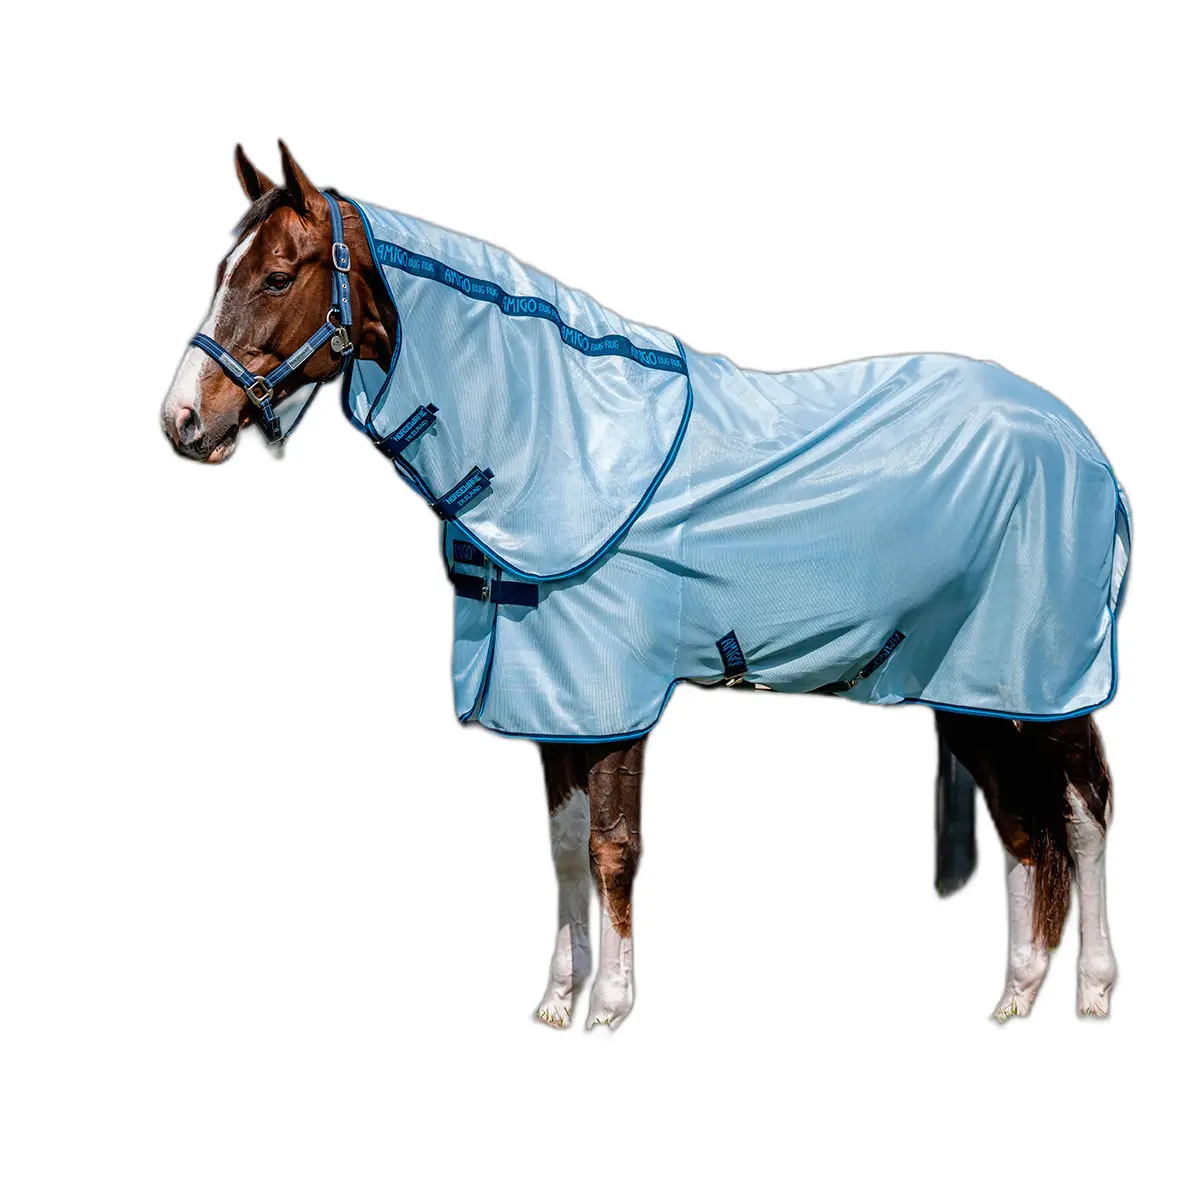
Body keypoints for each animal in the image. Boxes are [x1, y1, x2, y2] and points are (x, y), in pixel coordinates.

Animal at [161, 142, 1127, 1028]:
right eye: (220, 272)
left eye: (277, 276)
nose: (183, 420)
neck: (557, 433)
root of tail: (1082, 445)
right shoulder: (552, 702)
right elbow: (562, 847)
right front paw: (559, 999)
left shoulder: (613, 695)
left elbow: (612, 848)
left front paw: (613, 1007)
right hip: (970, 689)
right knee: (1022, 827)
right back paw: (1015, 996)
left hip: (1048, 687)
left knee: (1083, 814)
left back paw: (1092, 992)